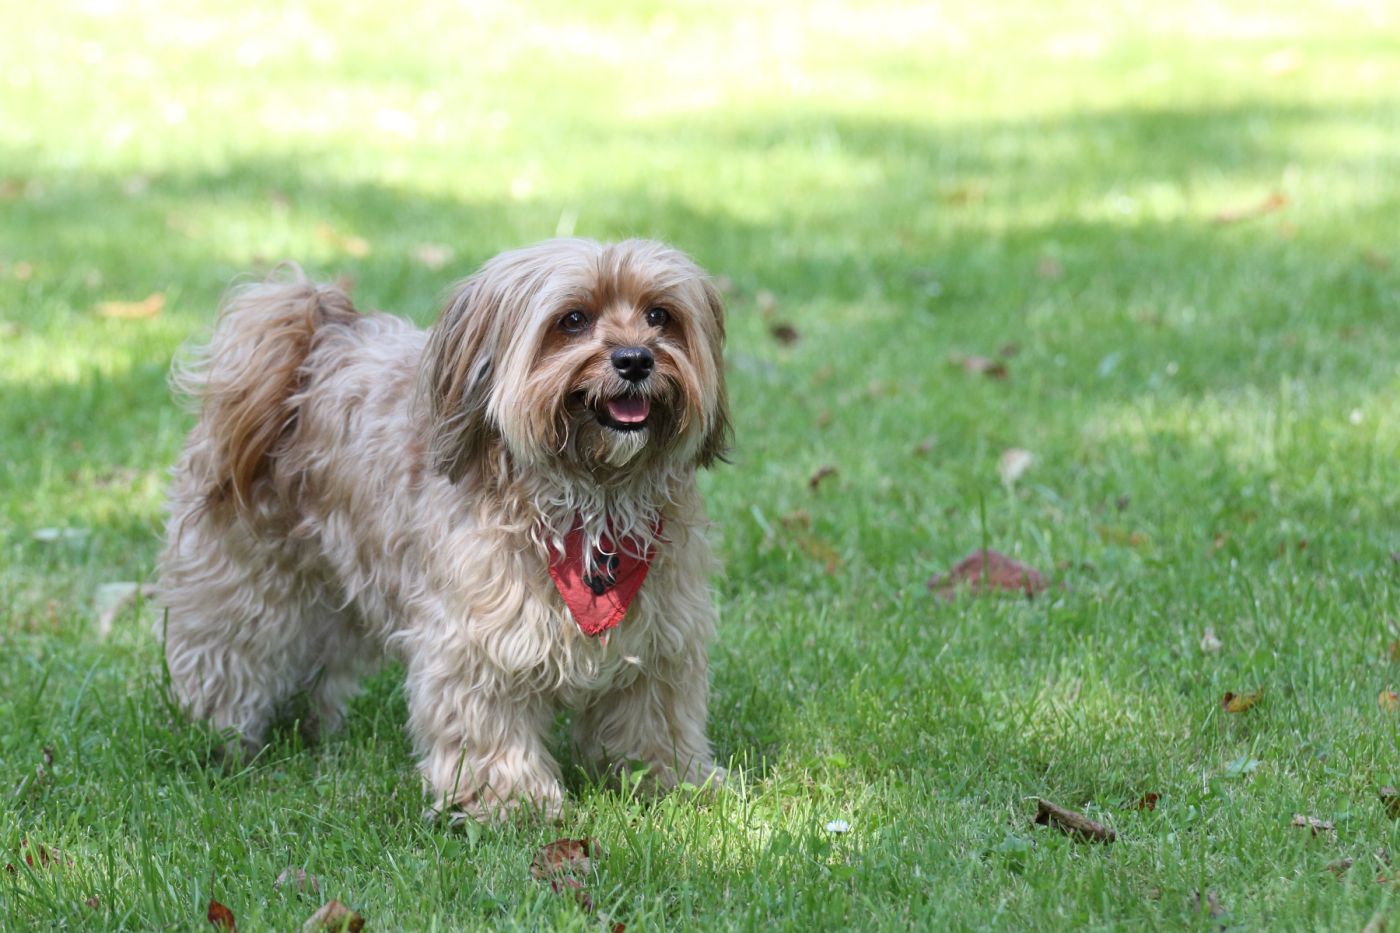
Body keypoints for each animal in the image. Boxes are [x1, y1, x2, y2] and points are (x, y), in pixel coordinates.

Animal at [158, 236, 733, 818]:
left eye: (659, 315)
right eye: (573, 319)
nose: (635, 358)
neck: (590, 507)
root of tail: (319, 334)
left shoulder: (661, 636)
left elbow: (652, 721)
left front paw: (676, 784)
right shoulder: (479, 638)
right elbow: (487, 724)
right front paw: (510, 802)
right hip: (245, 579)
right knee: (230, 648)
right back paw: (222, 737)